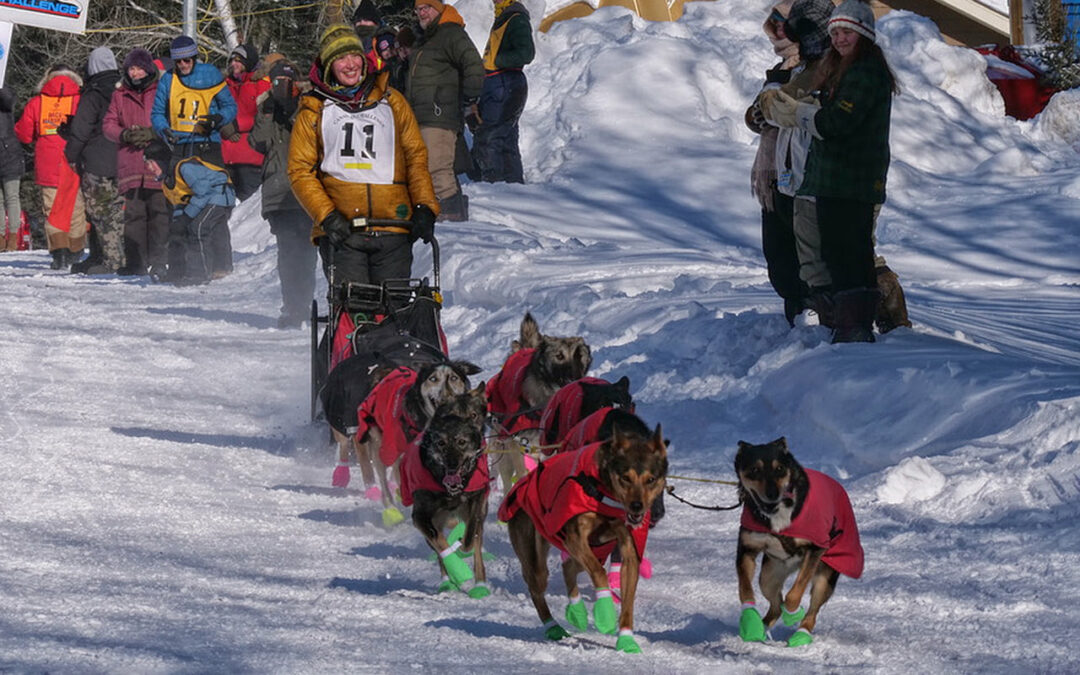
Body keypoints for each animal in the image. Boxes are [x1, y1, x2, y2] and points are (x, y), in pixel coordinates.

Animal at [498, 423, 665, 652]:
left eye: (651, 479)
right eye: (625, 477)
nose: (637, 506)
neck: (607, 492)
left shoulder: (630, 548)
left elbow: (628, 599)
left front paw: (626, 640)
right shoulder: (575, 537)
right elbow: (599, 574)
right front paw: (605, 613)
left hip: (595, 549)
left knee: (568, 567)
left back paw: (576, 611)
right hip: (536, 551)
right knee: (538, 587)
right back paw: (553, 627)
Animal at [730, 440, 864, 643]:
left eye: (779, 468)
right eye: (754, 469)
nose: (772, 493)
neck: (777, 514)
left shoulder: (815, 549)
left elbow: (795, 594)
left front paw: (793, 613)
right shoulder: (747, 548)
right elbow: (744, 588)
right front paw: (749, 620)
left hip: (825, 576)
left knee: (812, 611)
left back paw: (801, 634)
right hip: (770, 575)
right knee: (775, 606)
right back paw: (761, 627)